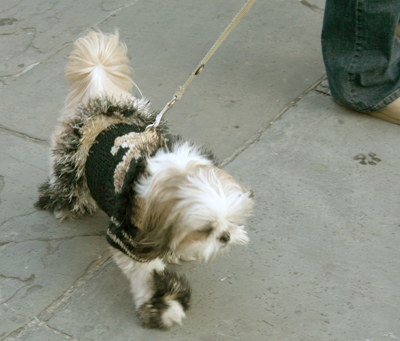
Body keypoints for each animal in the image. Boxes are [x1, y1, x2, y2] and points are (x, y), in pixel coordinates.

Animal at [34, 31, 253, 326]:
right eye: (205, 229)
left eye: (233, 221)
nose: (226, 236)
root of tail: (99, 102)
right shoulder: (127, 237)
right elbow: (148, 273)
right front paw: (162, 305)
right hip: (68, 160)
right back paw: (65, 204)